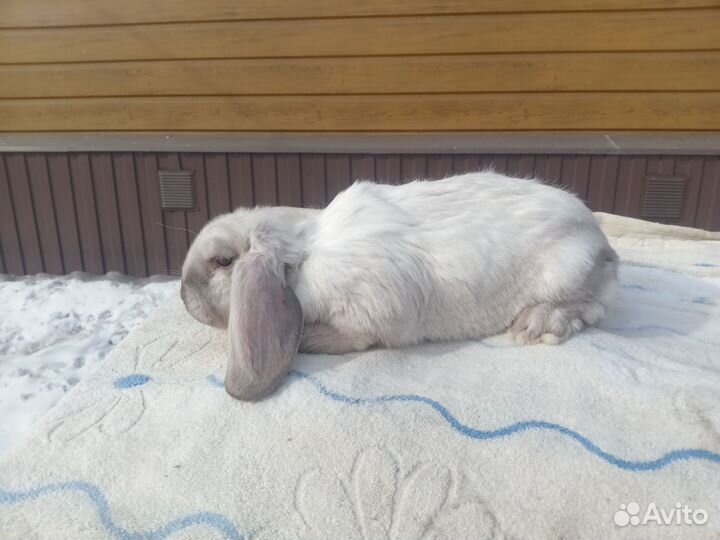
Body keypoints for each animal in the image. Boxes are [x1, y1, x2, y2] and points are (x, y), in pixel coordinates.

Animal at [181, 171, 618, 401]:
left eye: (223, 262)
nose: (184, 297)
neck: (302, 257)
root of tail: (602, 246)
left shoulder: (369, 311)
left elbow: (356, 337)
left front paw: (310, 339)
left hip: (567, 273)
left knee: (588, 309)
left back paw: (535, 324)